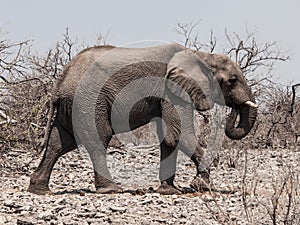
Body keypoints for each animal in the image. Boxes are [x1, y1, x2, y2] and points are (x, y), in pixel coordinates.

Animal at [27, 42, 258, 195]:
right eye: (232, 80)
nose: (235, 109)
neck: (201, 55)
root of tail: (59, 84)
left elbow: (168, 137)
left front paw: (169, 191)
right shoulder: (173, 90)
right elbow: (179, 135)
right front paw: (201, 186)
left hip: (72, 105)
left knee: (59, 143)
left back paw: (40, 190)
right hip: (89, 100)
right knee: (99, 138)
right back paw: (112, 189)